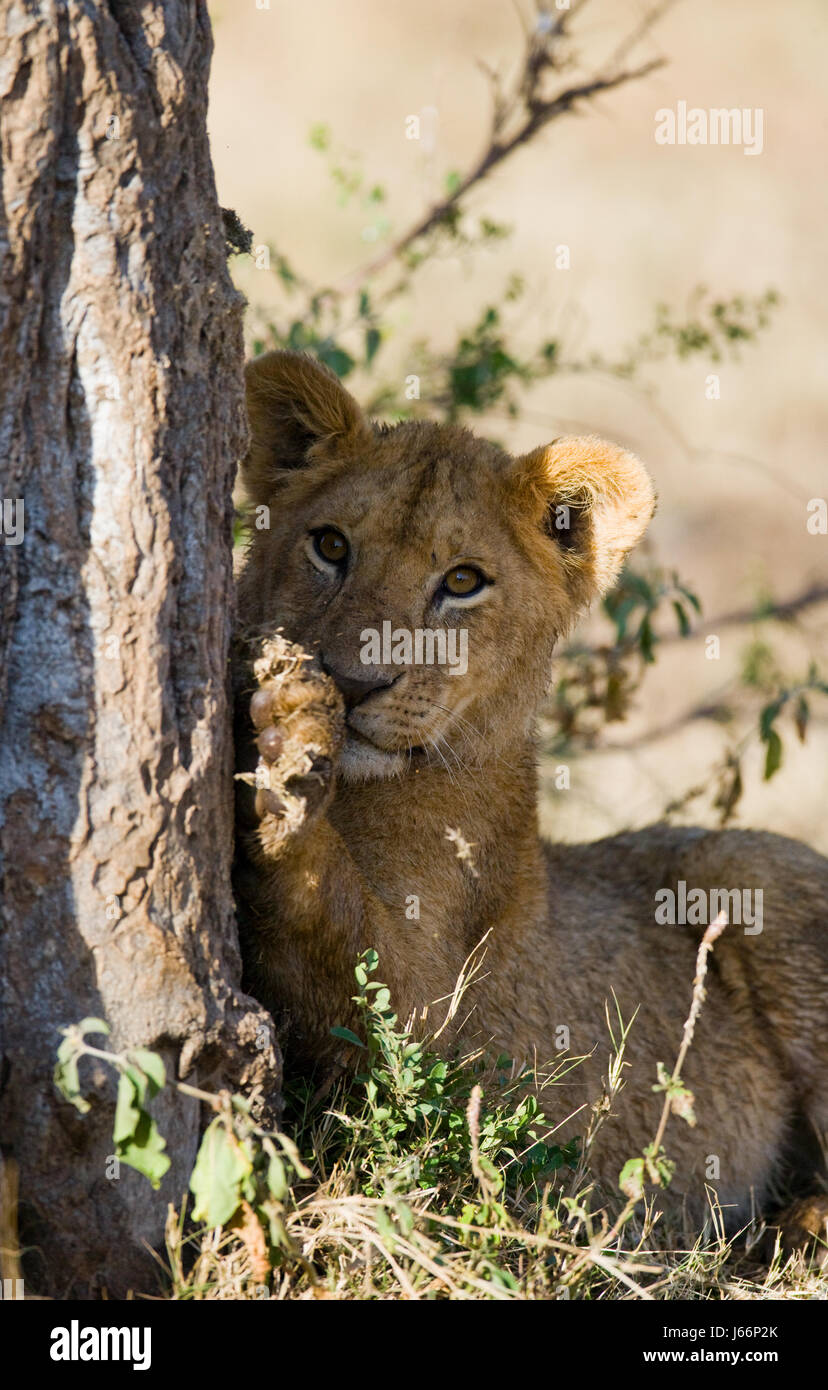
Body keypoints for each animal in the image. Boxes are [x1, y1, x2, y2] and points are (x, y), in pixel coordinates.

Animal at [234, 349, 828, 1256]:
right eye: (331, 545)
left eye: (463, 581)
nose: (354, 684)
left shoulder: (432, 1028)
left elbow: (331, 915)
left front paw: (290, 749)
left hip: (748, 864)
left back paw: (792, 1227)